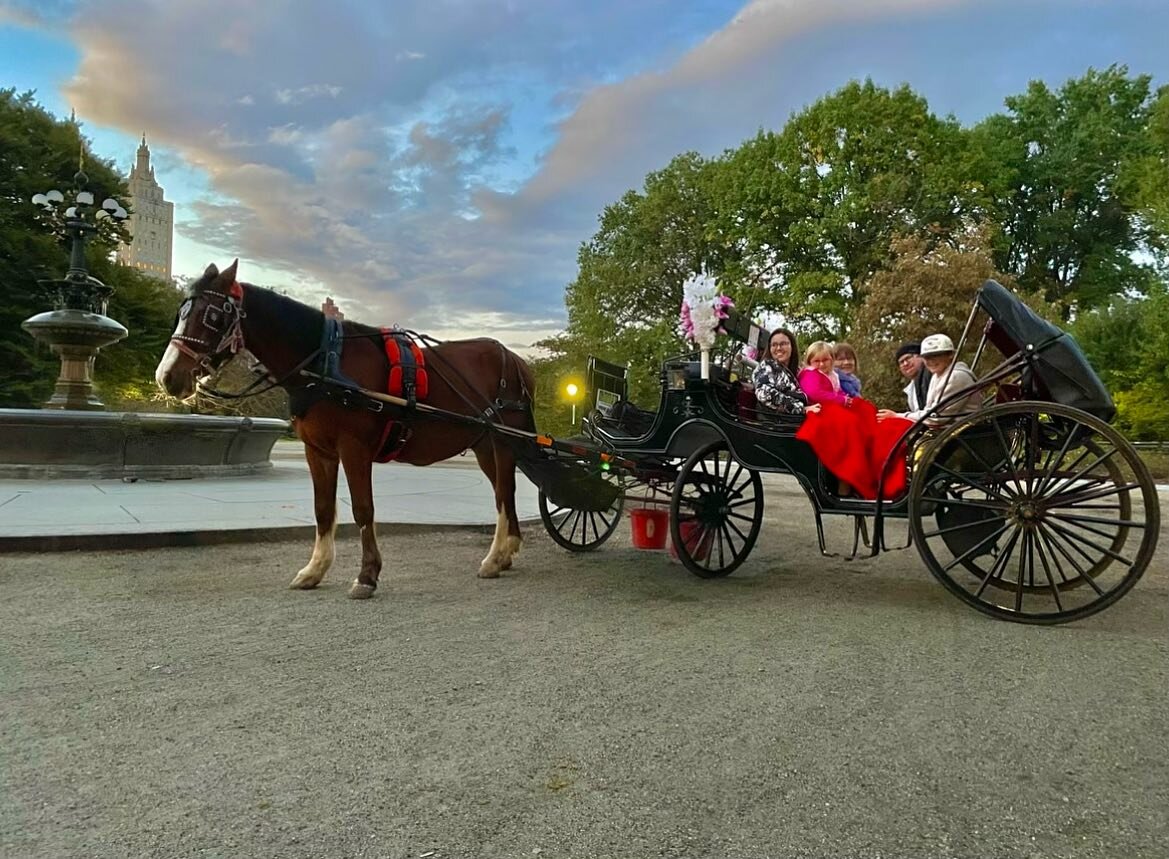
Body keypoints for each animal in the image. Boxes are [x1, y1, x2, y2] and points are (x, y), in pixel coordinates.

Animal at [154, 258, 535, 603]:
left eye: (212, 316)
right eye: (182, 312)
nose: (167, 376)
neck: (325, 362)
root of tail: (516, 360)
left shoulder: (354, 447)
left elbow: (362, 509)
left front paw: (367, 575)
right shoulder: (317, 450)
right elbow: (323, 509)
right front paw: (315, 569)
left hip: (503, 441)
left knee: (503, 494)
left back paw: (495, 556)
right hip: (484, 445)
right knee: (504, 492)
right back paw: (506, 552)